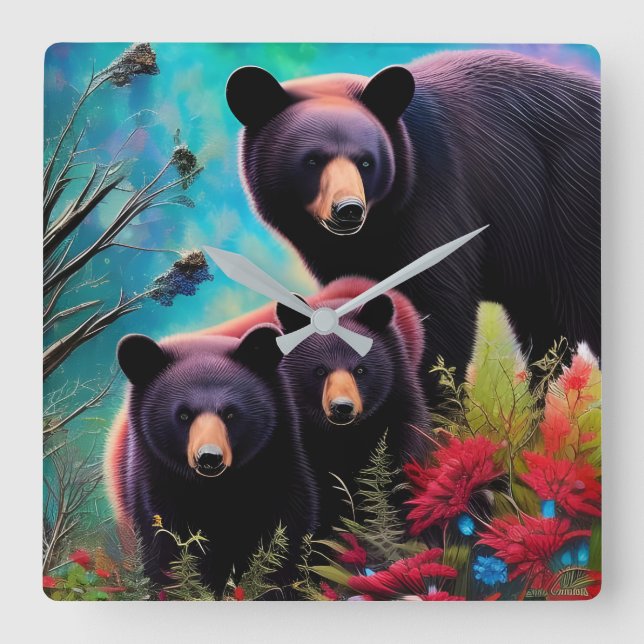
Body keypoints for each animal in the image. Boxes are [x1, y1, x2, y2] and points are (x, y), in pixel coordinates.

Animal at [104, 326, 318, 596]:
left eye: (230, 413)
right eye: (183, 415)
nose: (209, 457)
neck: (216, 488)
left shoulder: (279, 464)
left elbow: (287, 532)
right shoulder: (155, 478)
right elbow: (166, 543)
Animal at [225, 49, 601, 393]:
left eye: (366, 162)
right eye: (312, 160)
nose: (348, 210)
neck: (374, 229)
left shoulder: (435, 200)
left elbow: (442, 313)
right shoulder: (336, 257)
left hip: (573, 207)